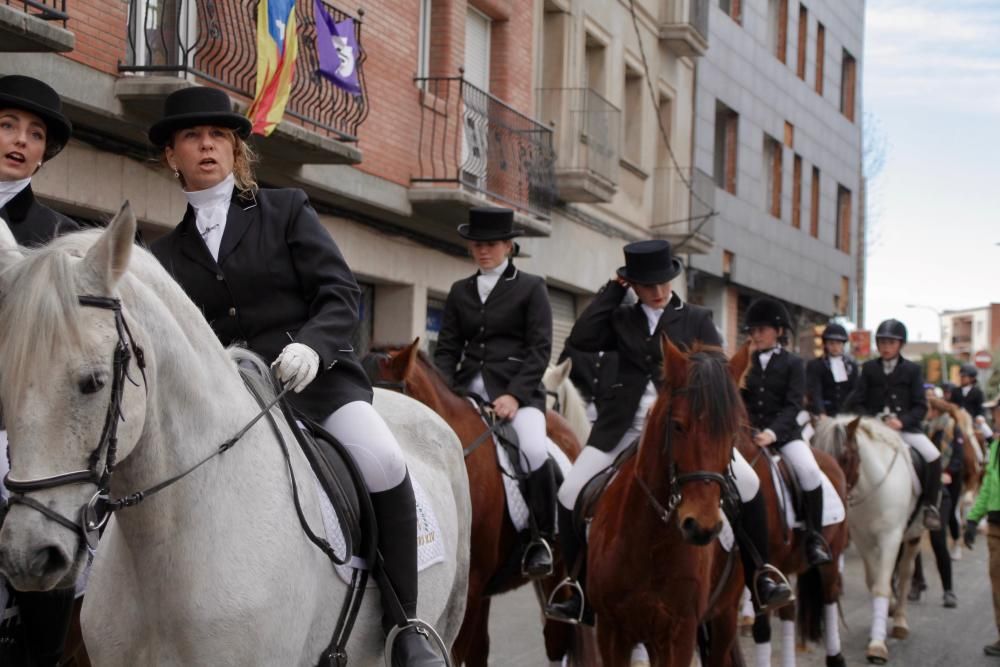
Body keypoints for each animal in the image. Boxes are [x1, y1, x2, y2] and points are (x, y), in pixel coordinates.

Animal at [584, 342, 752, 664]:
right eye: (678, 426)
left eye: (733, 431)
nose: (701, 526)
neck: (652, 540)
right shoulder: (612, 631)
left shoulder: (679, 633)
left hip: (724, 616)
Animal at [812, 418, 920, 664]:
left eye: (844, 457)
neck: (873, 489)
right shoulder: (862, 539)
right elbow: (874, 582)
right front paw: (885, 612)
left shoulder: (891, 537)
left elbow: (881, 587)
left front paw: (877, 645)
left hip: (913, 536)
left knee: (906, 573)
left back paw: (900, 621)